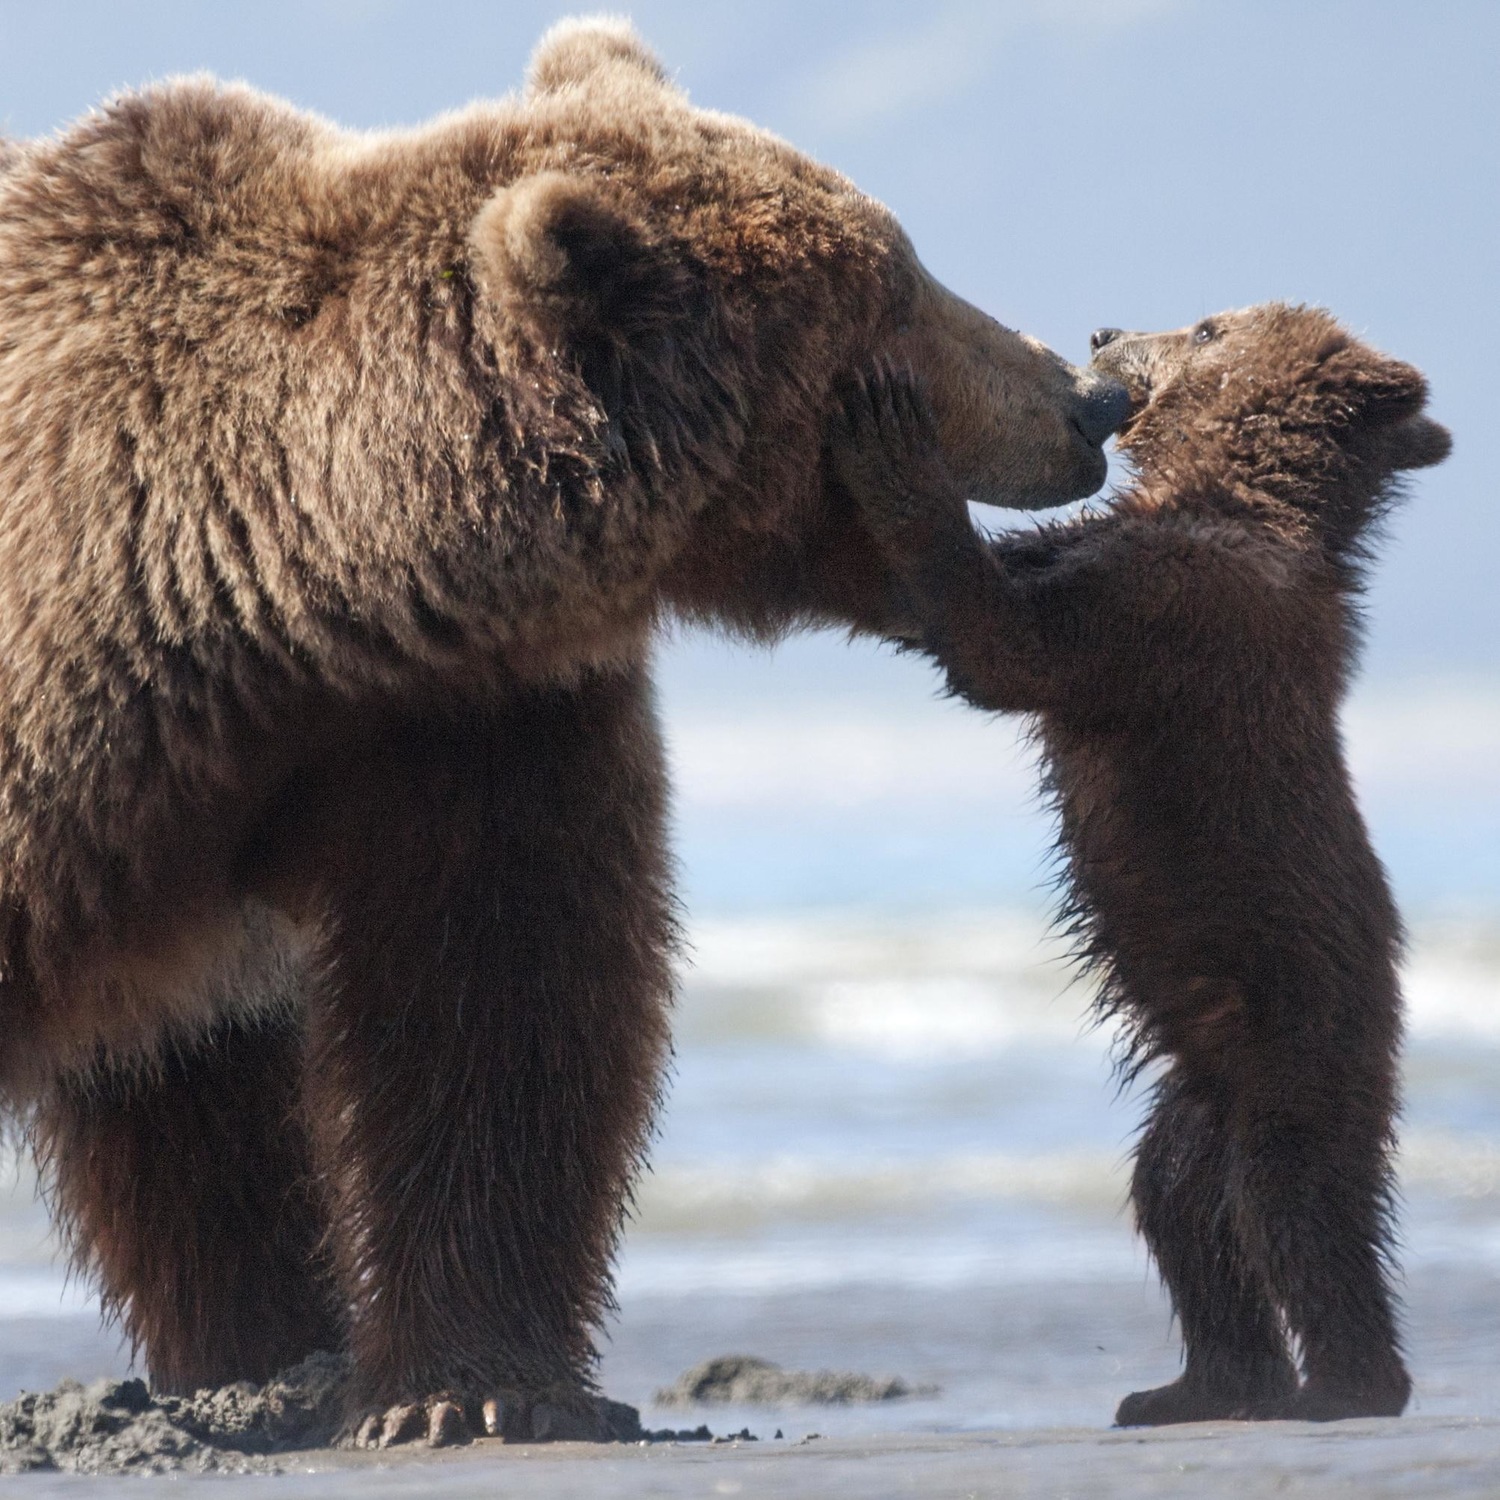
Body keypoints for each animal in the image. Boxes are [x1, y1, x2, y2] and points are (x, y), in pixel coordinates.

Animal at [0, 20, 1128, 1440]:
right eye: (898, 291)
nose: (1088, 400)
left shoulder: (466, 717)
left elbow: (501, 995)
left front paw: (473, 1389)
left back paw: (267, 1362)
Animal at [840, 304, 1446, 1428]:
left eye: (1208, 325)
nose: (1105, 330)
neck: (1231, 494)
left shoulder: (1176, 613)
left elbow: (1009, 646)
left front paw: (895, 440)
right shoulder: (1114, 553)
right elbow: (1001, 587)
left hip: (1301, 1026)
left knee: (1297, 1197)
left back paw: (1345, 1386)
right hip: (1197, 1089)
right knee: (1183, 1206)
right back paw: (1194, 1386)